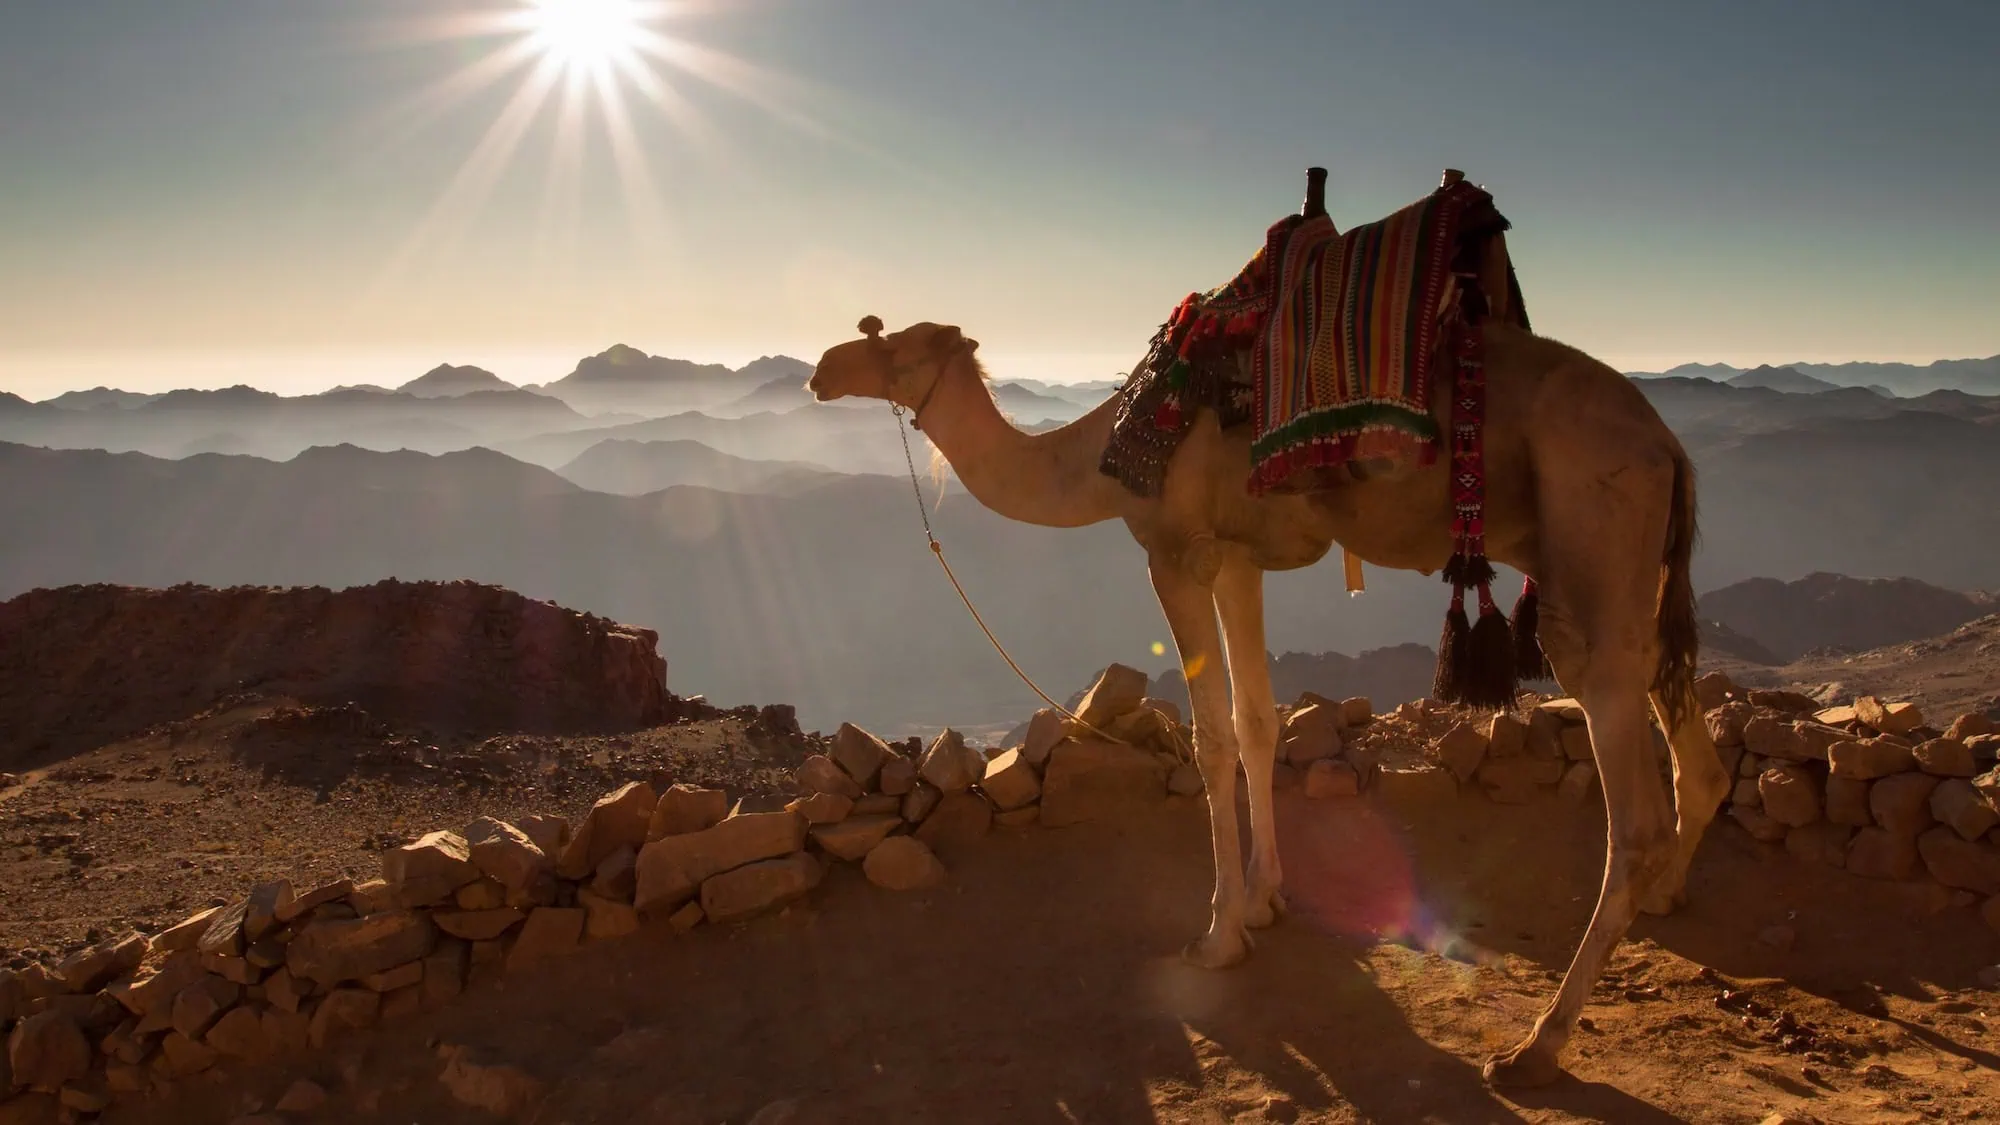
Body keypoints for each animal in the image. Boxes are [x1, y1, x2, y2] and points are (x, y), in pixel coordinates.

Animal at [806, 209, 1729, 1088]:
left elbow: (1213, 737)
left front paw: (1218, 934)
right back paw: (1665, 897)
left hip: (1592, 533)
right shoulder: (1237, 556)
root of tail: (1669, 447)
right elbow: (1255, 720)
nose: (823, 365)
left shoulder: (1176, 550)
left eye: (897, 340)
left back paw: (1538, 1046)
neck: (1104, 454)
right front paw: (1264, 900)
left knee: (1631, 809)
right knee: (1689, 741)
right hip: (1637, 575)